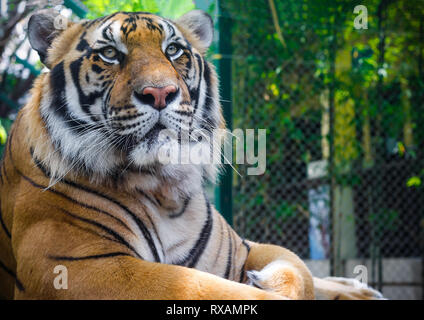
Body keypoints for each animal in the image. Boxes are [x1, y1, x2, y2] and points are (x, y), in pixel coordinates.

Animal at [0, 9, 384, 300]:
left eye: (173, 50)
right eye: (109, 53)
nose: (159, 93)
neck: (161, 189)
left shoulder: (242, 248)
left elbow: (298, 267)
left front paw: (269, 281)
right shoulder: (80, 266)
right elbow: (208, 289)